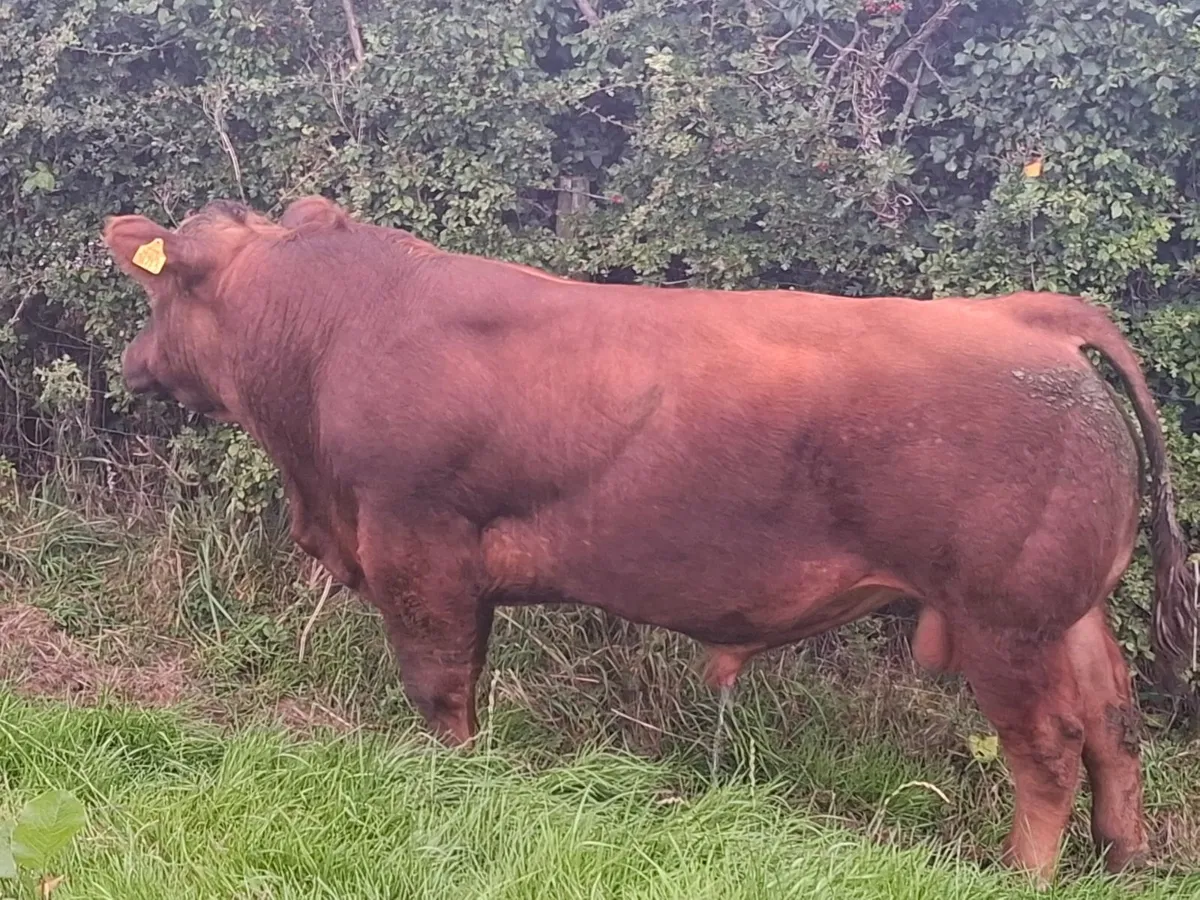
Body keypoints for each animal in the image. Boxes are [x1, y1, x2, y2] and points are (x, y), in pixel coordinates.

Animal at [103, 195, 1196, 884]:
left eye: (159, 291)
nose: (132, 360)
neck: (338, 327)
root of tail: (1030, 317)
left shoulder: (418, 543)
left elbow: (442, 692)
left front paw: (454, 792)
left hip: (1006, 619)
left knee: (1047, 748)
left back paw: (1025, 873)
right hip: (1070, 611)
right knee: (1114, 725)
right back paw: (1124, 862)